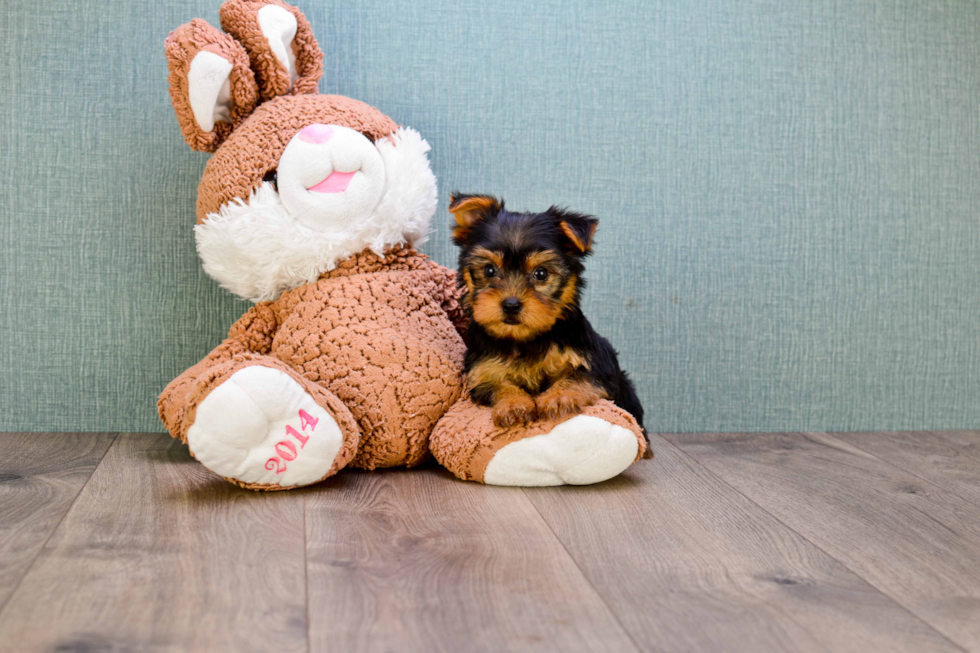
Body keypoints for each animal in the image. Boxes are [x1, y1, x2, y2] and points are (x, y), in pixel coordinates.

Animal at [452, 191, 652, 450]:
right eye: (489, 271)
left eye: (541, 274)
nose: (511, 304)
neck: (526, 339)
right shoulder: (482, 372)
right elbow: (498, 385)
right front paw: (513, 404)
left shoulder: (597, 366)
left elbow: (577, 378)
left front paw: (556, 398)